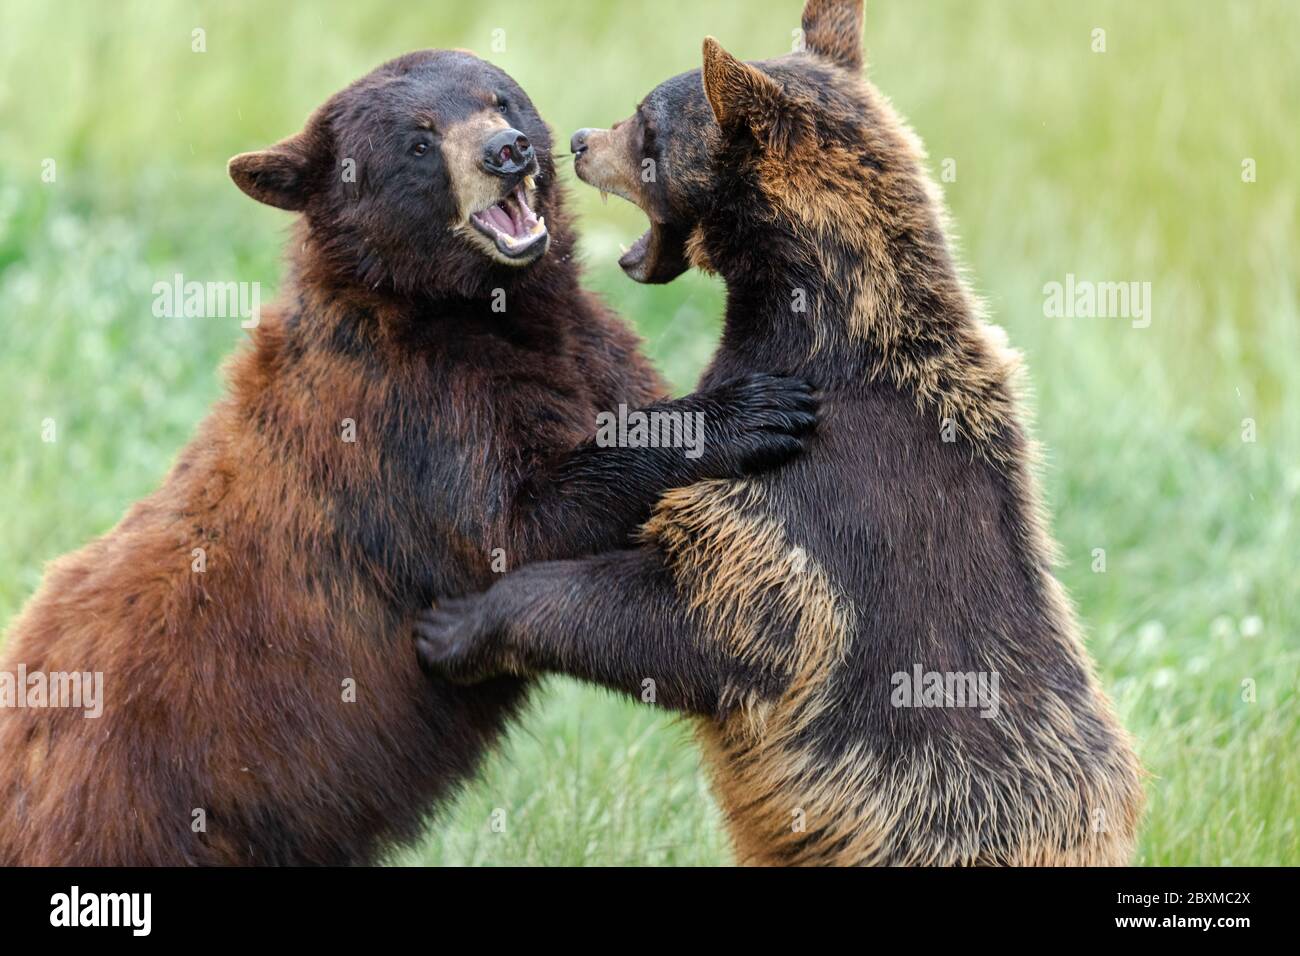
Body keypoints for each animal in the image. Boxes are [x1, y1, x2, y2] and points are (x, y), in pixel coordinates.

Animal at [0, 46, 811, 868]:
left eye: (499, 98)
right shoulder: (400, 418)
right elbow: (511, 526)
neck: (466, 310)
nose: (507, 152)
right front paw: (748, 412)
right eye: (419, 142)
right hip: (133, 813)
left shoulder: (587, 345)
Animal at [418, 1, 1149, 868]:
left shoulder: (793, 523)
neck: (815, 333)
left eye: (650, 127)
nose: (580, 141)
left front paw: (463, 623)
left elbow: (700, 628)